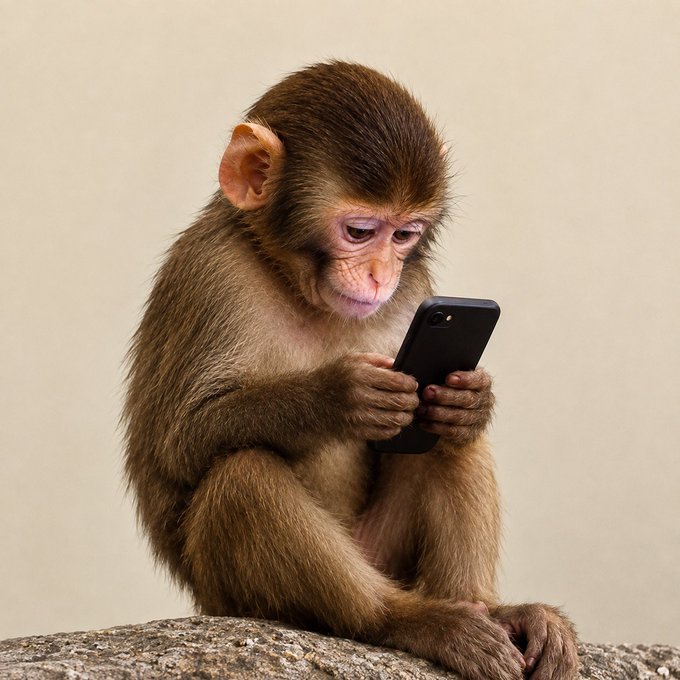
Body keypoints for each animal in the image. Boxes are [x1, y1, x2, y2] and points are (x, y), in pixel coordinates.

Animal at [123, 61, 579, 680]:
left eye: (405, 235)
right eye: (360, 232)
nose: (381, 275)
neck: (289, 279)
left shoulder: (416, 290)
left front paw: (472, 399)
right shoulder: (210, 274)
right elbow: (180, 441)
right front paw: (340, 395)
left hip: (383, 549)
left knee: (446, 441)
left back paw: (491, 609)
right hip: (235, 598)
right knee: (243, 474)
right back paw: (405, 619)